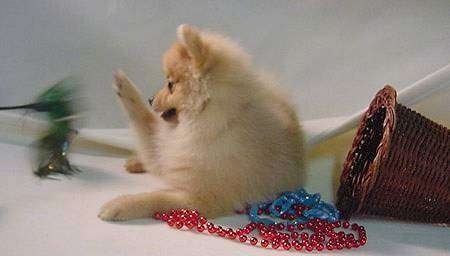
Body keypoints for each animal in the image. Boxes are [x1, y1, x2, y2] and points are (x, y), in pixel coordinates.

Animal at [100, 24, 304, 220]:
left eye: (171, 85)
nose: (150, 99)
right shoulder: (174, 147)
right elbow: (144, 120)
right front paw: (124, 86)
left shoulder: (204, 198)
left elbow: (159, 197)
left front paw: (121, 205)